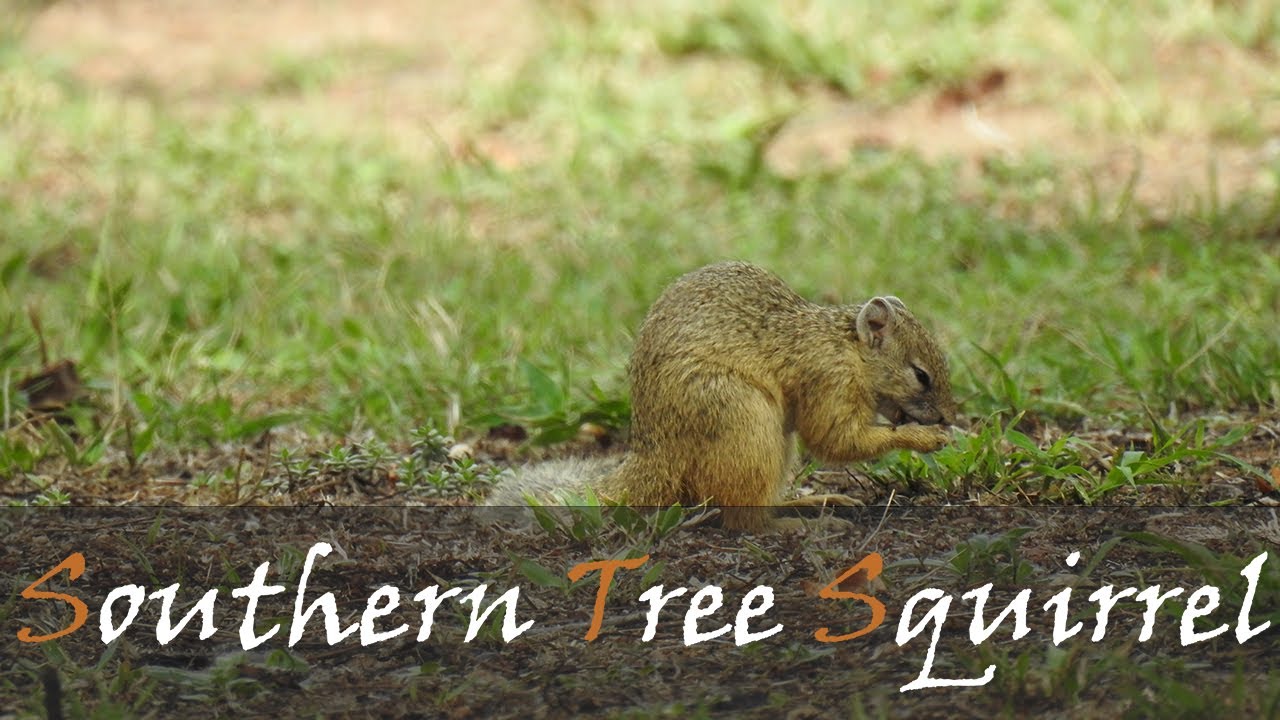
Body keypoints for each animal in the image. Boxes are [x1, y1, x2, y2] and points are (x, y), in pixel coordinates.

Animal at [486, 261, 957, 530]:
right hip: (743, 422)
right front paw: (924, 439)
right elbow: (836, 440)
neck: (846, 348)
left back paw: (815, 501)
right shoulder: (827, 379)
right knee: (741, 518)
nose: (947, 417)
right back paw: (793, 526)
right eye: (921, 376)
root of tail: (658, 455)